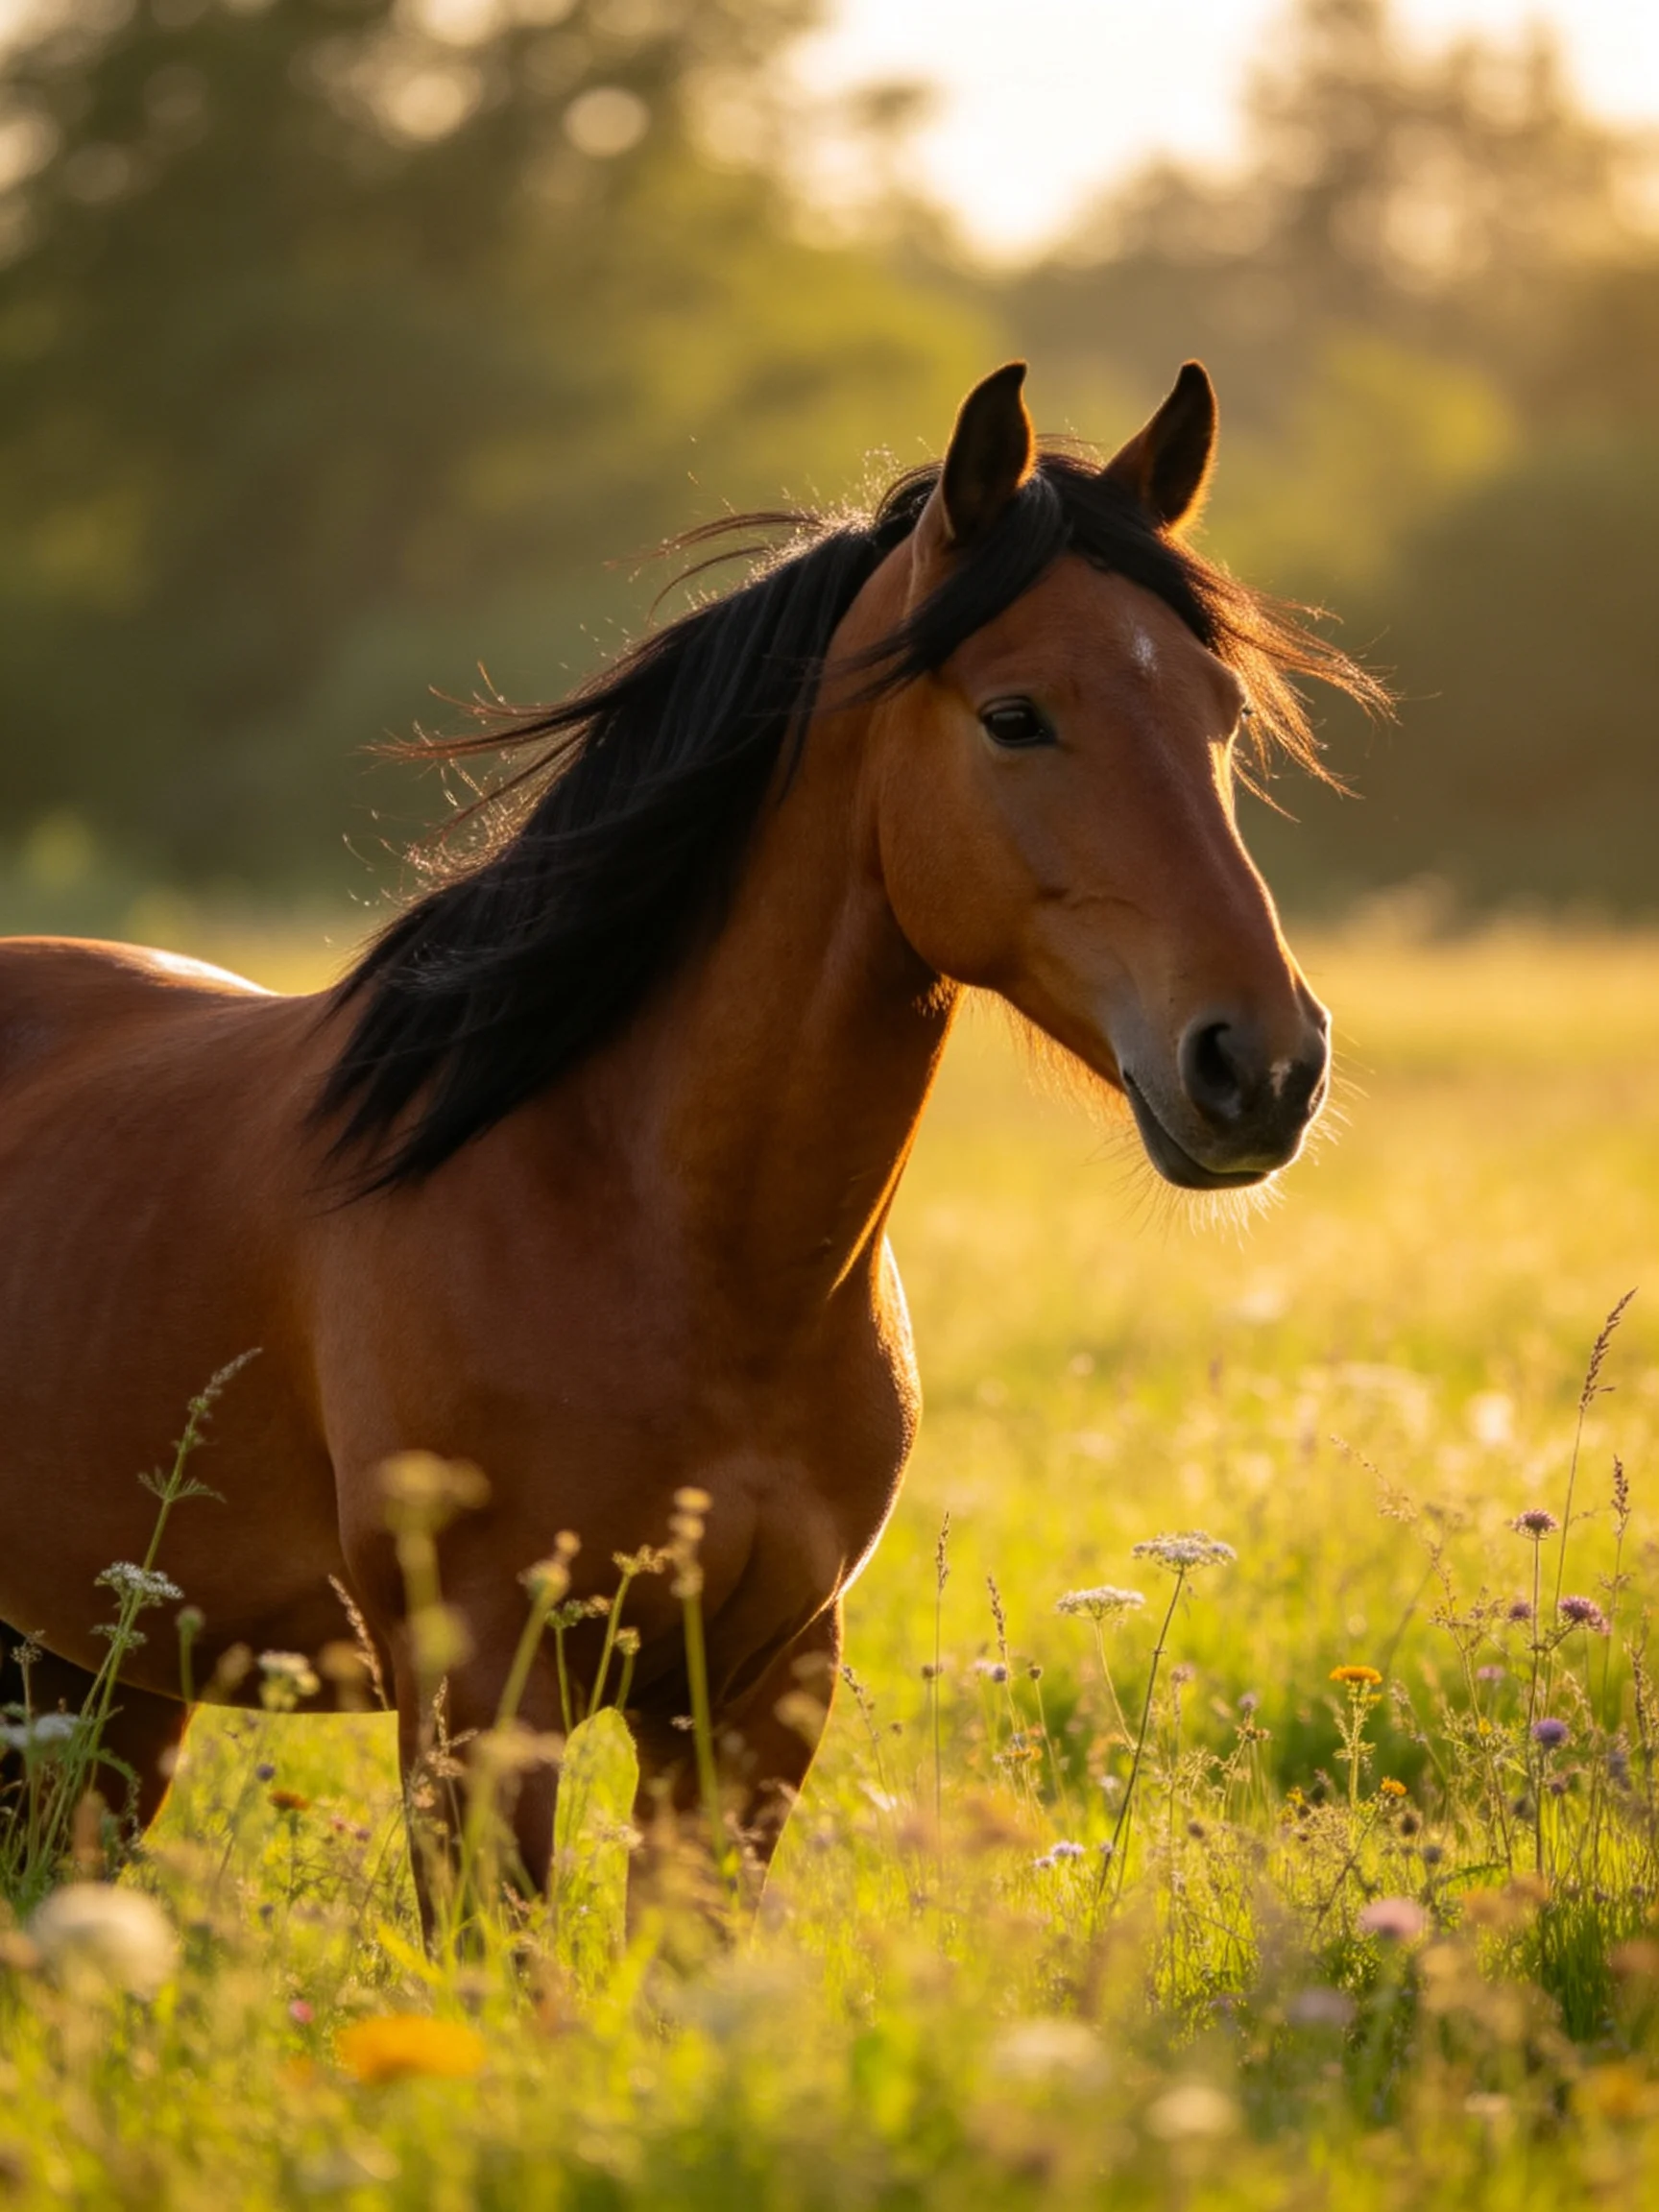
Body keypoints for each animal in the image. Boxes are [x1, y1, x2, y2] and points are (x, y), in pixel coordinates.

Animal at [0, 360, 1375, 1898]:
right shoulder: (480, 1700)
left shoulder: (754, 1697)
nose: (1263, 1065)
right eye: (1016, 714)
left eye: (1224, 716)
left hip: (103, 1678)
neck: (660, 1234)